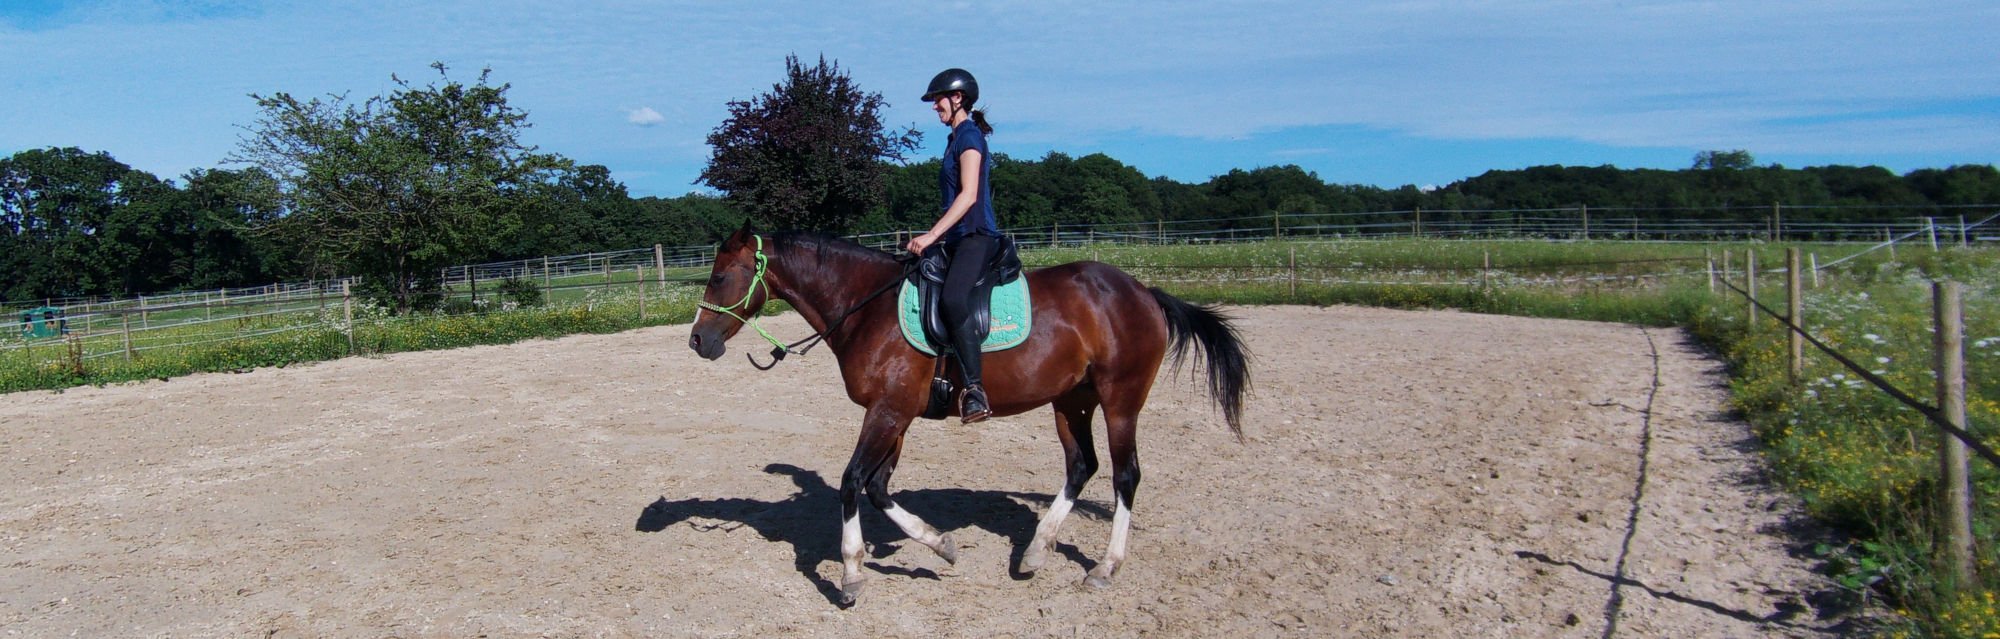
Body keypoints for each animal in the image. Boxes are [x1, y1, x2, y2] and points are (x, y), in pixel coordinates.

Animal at [688, 224, 1248, 603]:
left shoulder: (887, 412)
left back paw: (1105, 567)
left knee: (1125, 475)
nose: (697, 342)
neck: (866, 308)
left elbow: (852, 483)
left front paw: (851, 574)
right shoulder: (895, 414)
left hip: (1120, 400)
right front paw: (940, 546)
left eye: (720, 277)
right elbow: (877, 487)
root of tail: (1142, 291)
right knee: (1081, 466)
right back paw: (1035, 551)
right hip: (1072, 401)